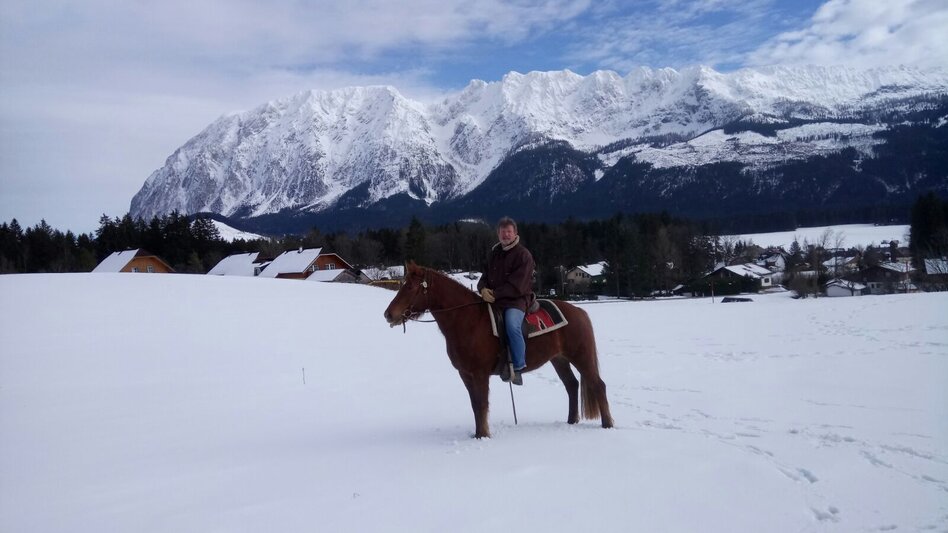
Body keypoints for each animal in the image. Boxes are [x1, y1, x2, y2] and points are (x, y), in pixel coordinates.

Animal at [383, 262, 614, 438]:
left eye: (410, 288)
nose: (388, 314)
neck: (468, 320)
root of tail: (579, 311)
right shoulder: (466, 374)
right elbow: (475, 405)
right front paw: (478, 434)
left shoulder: (480, 373)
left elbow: (482, 404)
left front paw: (483, 436)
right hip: (559, 359)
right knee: (572, 385)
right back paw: (571, 421)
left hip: (581, 357)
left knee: (598, 385)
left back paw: (608, 425)